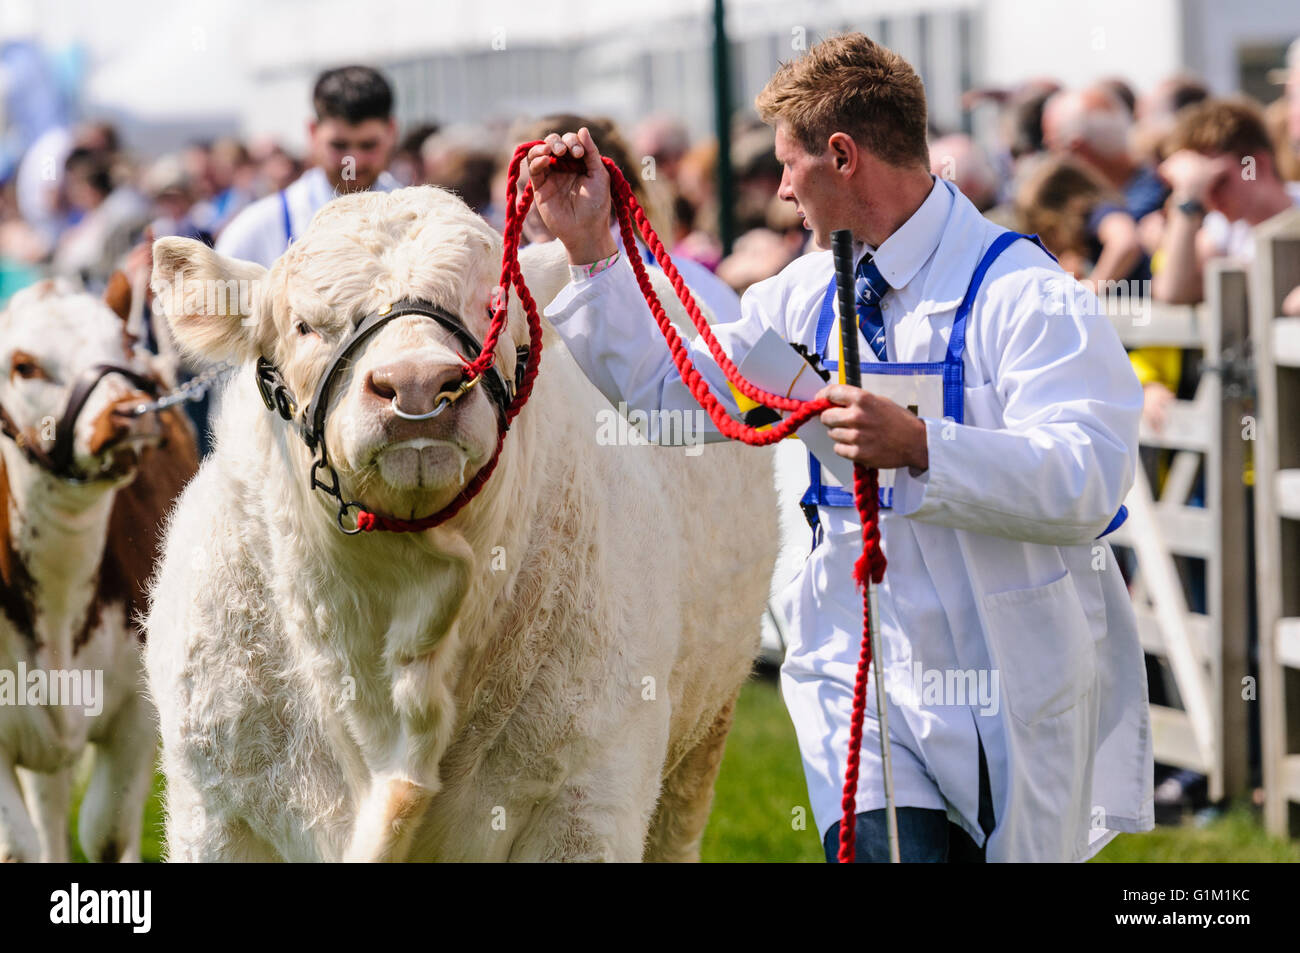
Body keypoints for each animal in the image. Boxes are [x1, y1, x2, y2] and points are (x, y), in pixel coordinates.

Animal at [0, 276, 197, 863]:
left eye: (124, 343)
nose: (129, 412)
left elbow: (106, 832)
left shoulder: (136, 708)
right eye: (23, 365)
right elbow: (18, 845)